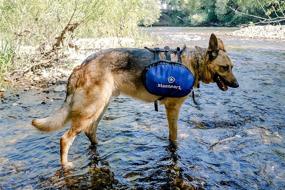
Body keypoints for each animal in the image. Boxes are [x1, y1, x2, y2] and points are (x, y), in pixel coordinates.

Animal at [31, 33, 237, 168]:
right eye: (225, 68)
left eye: (232, 67)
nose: (237, 85)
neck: (194, 62)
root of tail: (81, 65)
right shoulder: (172, 109)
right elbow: (173, 137)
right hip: (92, 109)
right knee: (65, 139)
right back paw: (66, 165)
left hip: (101, 106)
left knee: (90, 131)